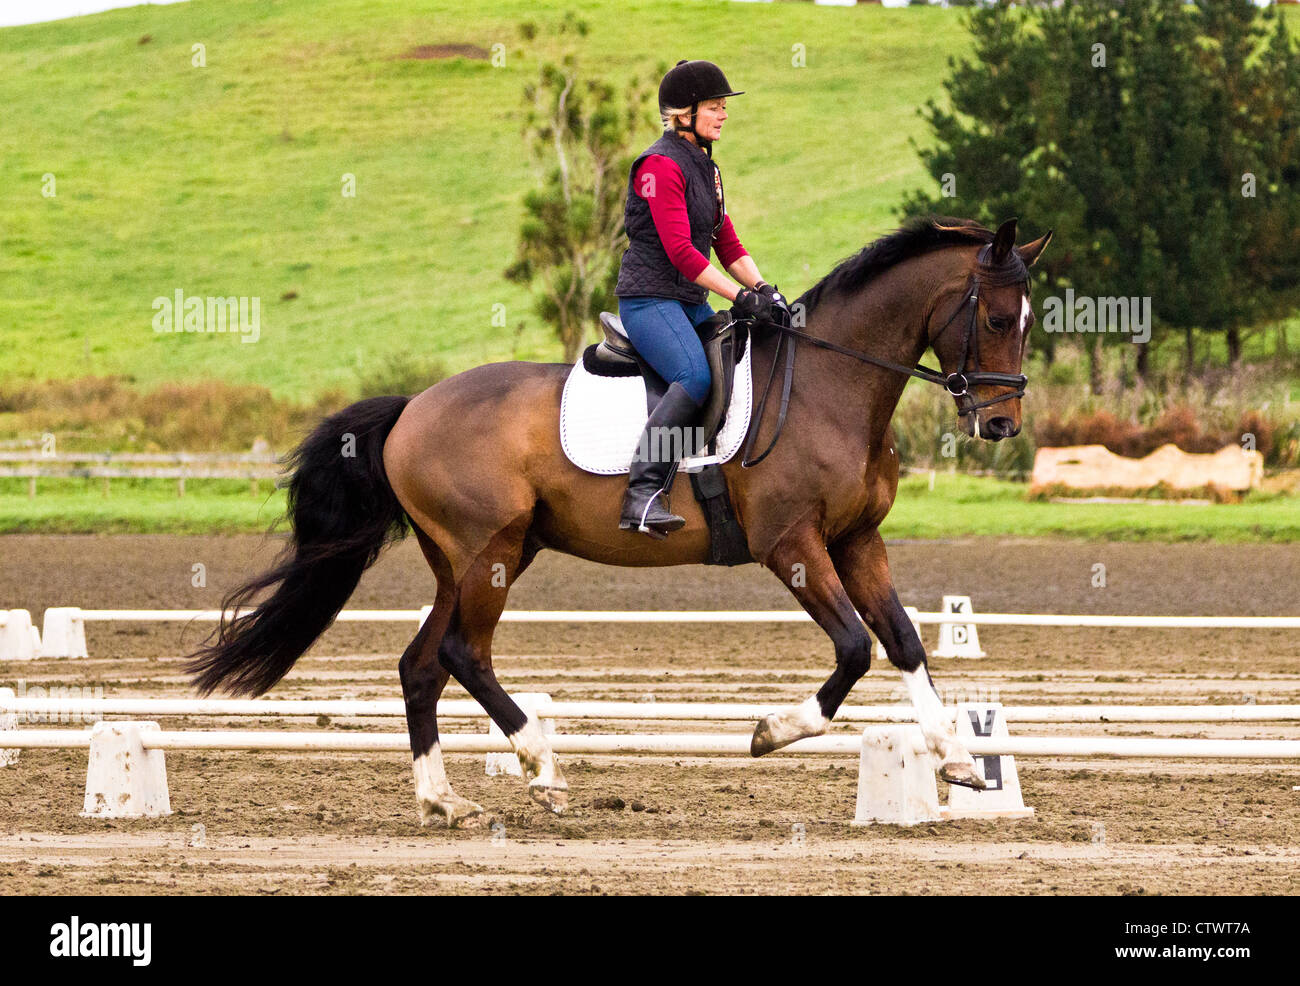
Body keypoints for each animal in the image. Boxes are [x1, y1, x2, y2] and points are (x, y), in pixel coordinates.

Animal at [186, 215, 1052, 827]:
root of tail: (411, 409)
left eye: (1029, 321)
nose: (1001, 425)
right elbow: (852, 649)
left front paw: (958, 759)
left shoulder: (856, 540)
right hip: (490, 551)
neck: (828, 386)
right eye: (996, 318)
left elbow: (903, 642)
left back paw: (445, 801)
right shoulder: (793, 545)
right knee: (465, 654)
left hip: (470, 558)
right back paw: (542, 768)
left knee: (421, 666)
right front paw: (771, 730)